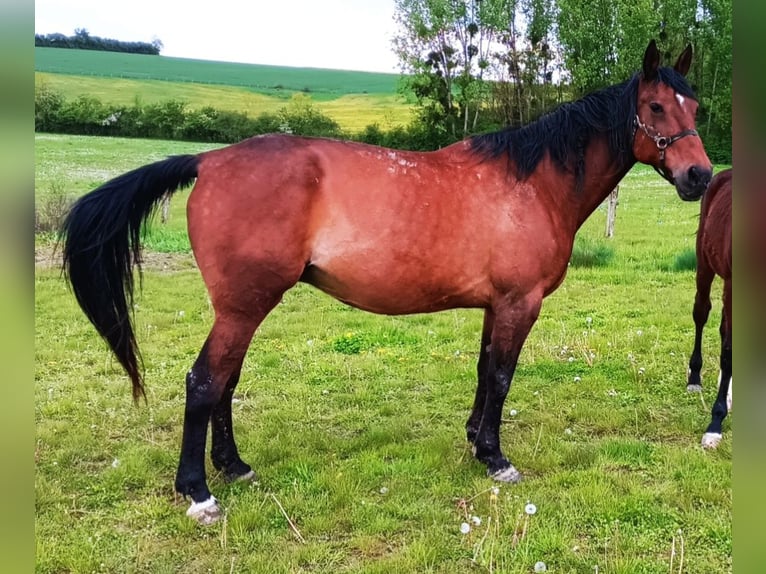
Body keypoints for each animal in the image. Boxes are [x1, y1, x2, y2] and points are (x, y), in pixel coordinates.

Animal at [60, 40, 712, 528]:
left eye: (695, 108)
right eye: (656, 107)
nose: (699, 176)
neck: (532, 183)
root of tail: (209, 160)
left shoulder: (493, 305)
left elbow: (484, 371)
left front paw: (474, 440)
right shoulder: (518, 303)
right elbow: (502, 375)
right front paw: (496, 458)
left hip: (241, 309)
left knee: (225, 382)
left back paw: (234, 467)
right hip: (244, 305)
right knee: (205, 382)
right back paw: (199, 492)